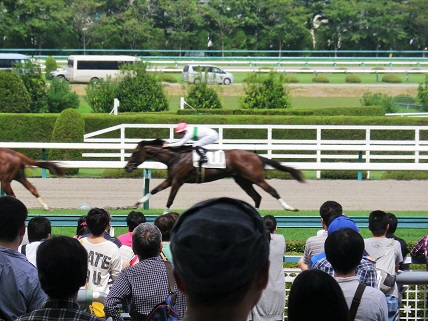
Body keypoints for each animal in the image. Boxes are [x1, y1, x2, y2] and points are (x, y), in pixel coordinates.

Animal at [123, 138, 304, 211]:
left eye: (135, 152)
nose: (127, 167)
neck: (176, 156)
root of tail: (256, 155)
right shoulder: (170, 179)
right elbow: (153, 190)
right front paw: (136, 204)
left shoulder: (178, 181)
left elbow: (170, 200)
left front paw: (164, 216)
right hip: (242, 180)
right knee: (257, 197)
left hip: (255, 177)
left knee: (271, 191)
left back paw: (289, 207)